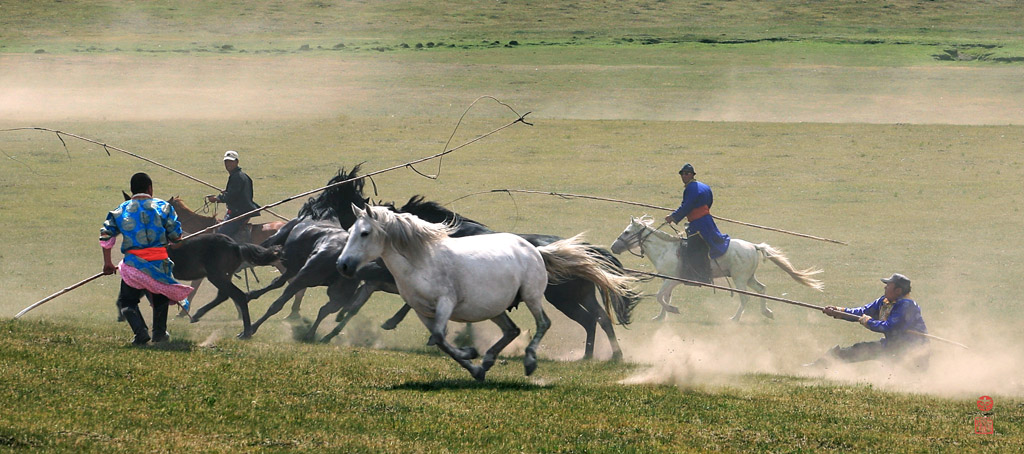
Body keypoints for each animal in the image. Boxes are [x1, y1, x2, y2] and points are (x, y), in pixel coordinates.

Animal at [339, 204, 634, 381]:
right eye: (350, 230)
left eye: (364, 233)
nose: (344, 265)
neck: (424, 259)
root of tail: (537, 250)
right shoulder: (425, 310)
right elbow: (438, 338)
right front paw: (473, 363)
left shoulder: (446, 303)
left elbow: (439, 336)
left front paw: (469, 353)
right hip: (503, 306)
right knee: (526, 328)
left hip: (543, 298)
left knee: (550, 322)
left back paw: (533, 360)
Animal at [606, 218, 823, 321]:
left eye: (626, 232)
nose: (614, 247)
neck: (666, 249)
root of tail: (754, 246)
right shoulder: (670, 280)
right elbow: (664, 297)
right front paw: (661, 316)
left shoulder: (671, 279)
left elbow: (660, 297)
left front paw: (672, 310)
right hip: (749, 278)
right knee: (762, 289)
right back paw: (766, 312)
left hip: (739, 279)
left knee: (745, 299)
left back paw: (735, 318)